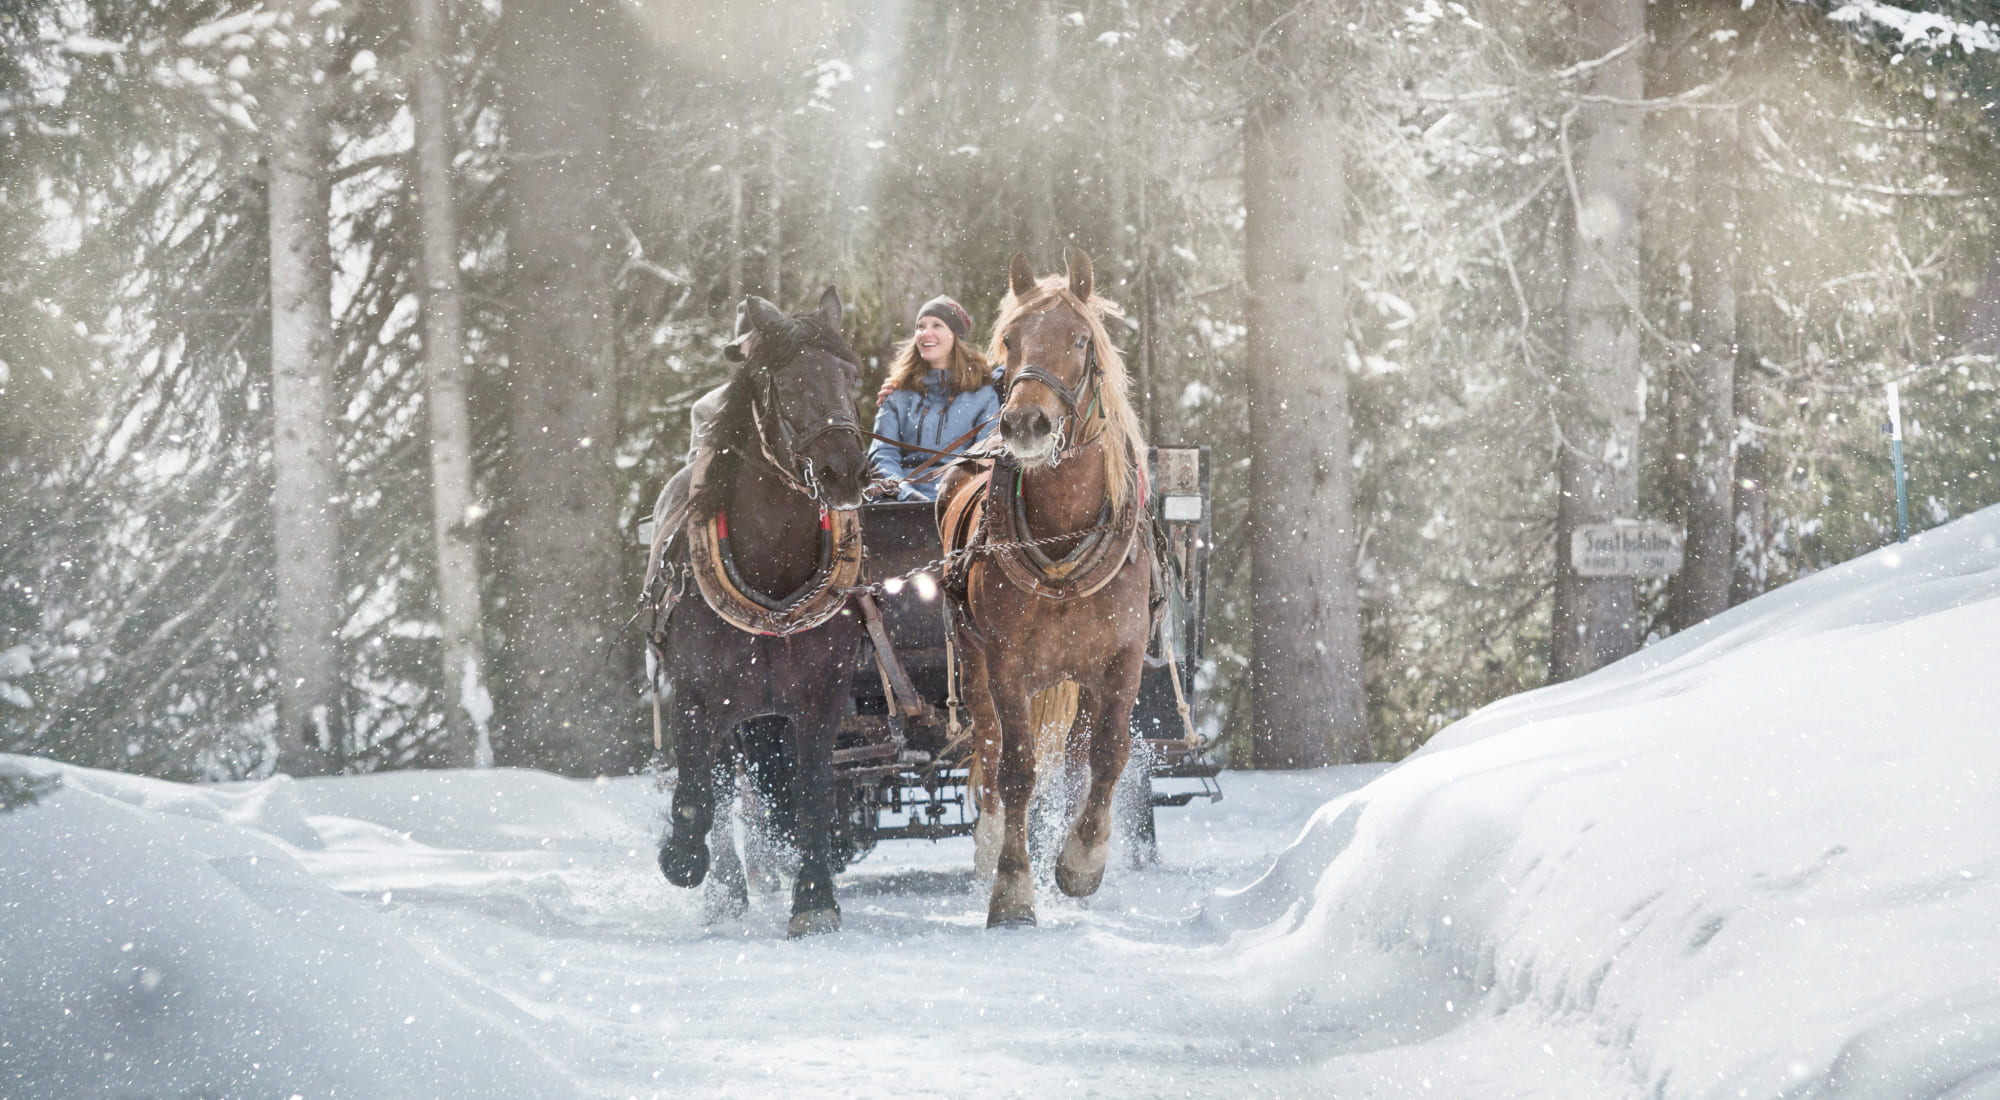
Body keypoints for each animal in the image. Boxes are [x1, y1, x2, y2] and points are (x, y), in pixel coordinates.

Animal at [643, 287, 871, 937]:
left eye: (851, 375)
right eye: (788, 384)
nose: (846, 471)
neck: (772, 578)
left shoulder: (821, 699)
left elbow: (813, 794)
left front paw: (814, 898)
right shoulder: (692, 697)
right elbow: (697, 797)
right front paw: (683, 861)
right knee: (719, 791)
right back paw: (723, 890)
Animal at [938, 250, 1153, 927]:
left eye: (1081, 340)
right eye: (1010, 340)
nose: (1025, 423)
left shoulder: (1124, 658)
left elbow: (1109, 754)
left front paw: (1081, 860)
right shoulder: (1007, 663)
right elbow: (1016, 769)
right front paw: (1012, 887)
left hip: (1079, 675)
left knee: (1081, 756)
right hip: (976, 664)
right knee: (987, 748)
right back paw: (990, 847)